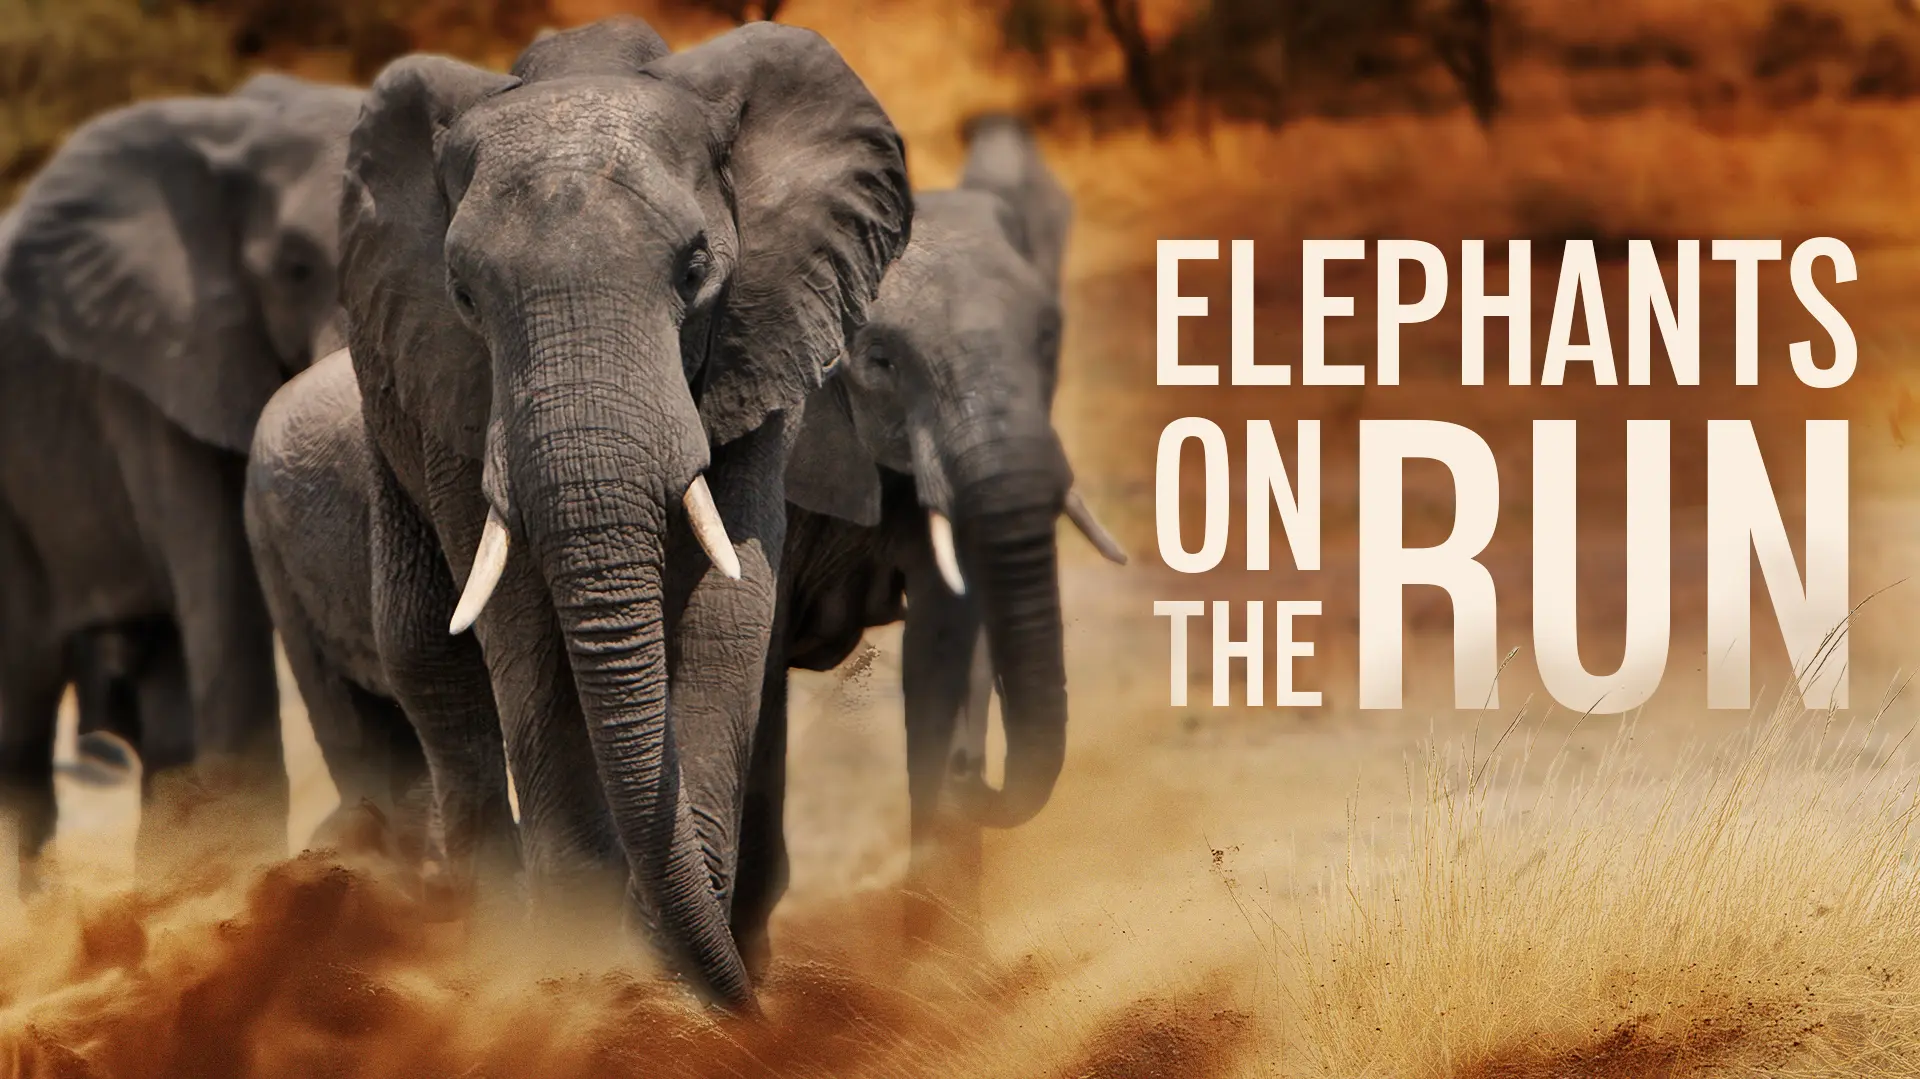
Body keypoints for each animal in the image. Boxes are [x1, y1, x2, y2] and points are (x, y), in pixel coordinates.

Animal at [330, 17, 910, 1008]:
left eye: (696, 267)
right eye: (463, 294)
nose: (747, 1009)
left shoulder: (761, 337)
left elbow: (729, 606)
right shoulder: (454, 383)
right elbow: (521, 624)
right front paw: (587, 962)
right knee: (431, 661)